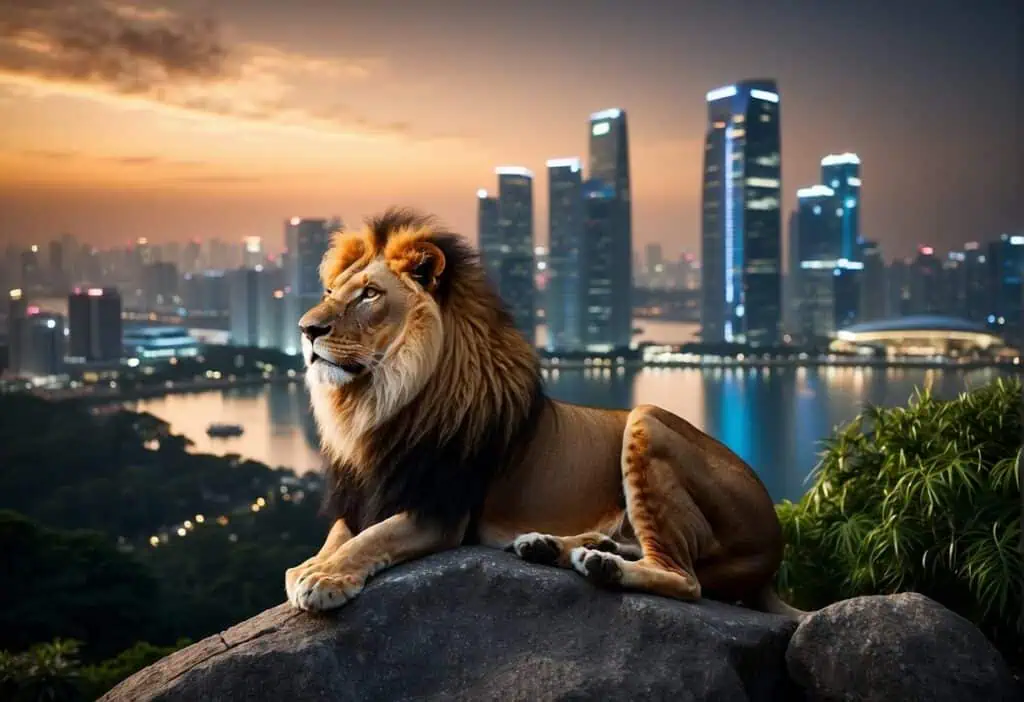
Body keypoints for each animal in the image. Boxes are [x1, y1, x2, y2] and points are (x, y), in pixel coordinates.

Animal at [284, 207, 805, 619]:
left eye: (370, 294)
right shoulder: (362, 497)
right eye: (330, 291)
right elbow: (338, 536)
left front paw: (325, 579)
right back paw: (555, 546)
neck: (378, 401)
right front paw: (309, 566)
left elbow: (370, 539)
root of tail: (773, 552)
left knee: (685, 577)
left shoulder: (441, 510)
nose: (306, 329)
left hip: (647, 417)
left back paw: (602, 565)